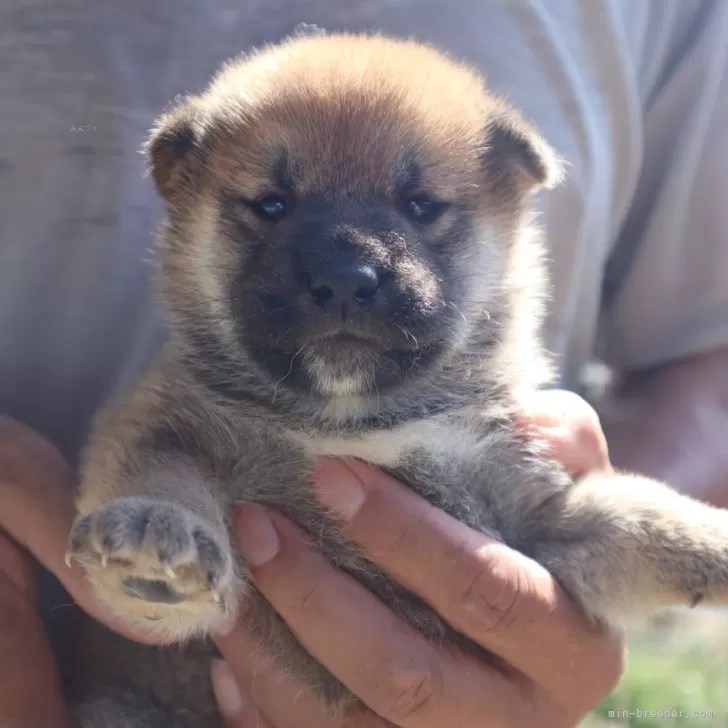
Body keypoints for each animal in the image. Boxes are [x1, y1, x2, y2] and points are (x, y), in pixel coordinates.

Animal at [65, 29, 728, 728]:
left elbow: (637, 512)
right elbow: (160, 470)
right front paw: (154, 534)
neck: (350, 422)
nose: (344, 278)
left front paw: (710, 539)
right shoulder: (162, 425)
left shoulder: (537, 517)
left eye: (421, 205)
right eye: (271, 205)